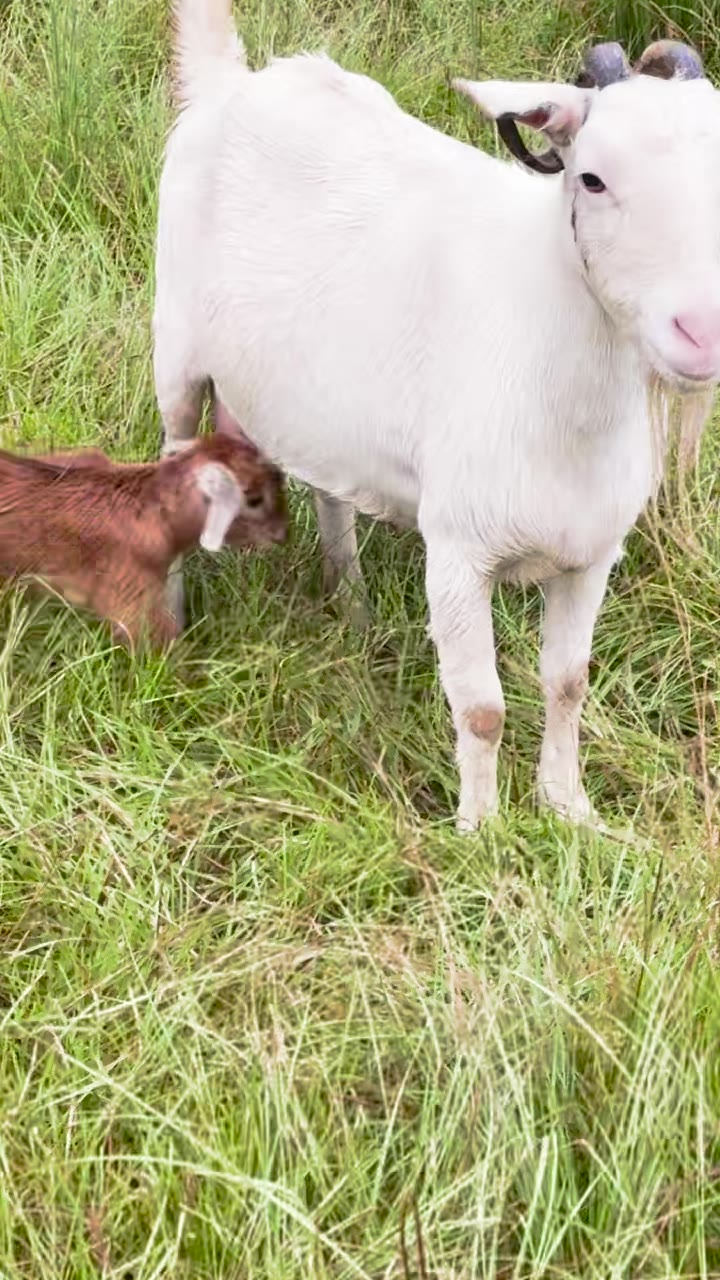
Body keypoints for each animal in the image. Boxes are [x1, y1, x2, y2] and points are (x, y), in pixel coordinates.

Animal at [153, 2, 720, 830]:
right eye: (590, 177)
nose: (701, 332)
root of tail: (237, 82)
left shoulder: (592, 557)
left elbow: (569, 685)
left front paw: (571, 811)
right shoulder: (457, 551)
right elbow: (481, 708)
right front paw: (481, 831)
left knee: (331, 492)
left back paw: (351, 605)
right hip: (174, 351)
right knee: (172, 454)